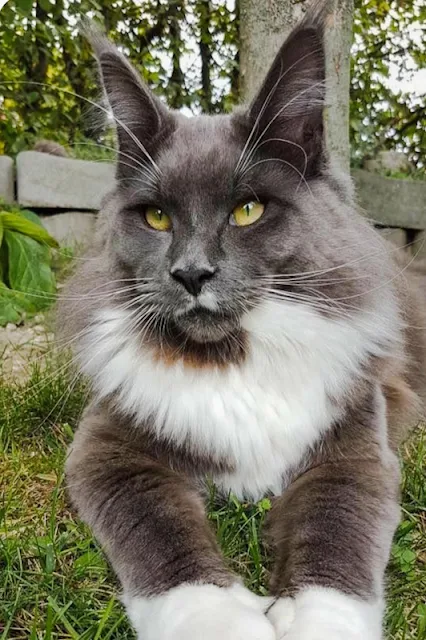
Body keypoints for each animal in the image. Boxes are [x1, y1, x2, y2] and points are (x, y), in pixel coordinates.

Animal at [60, 5, 426, 640]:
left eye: (247, 210)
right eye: (156, 217)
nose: (191, 273)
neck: (232, 358)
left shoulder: (354, 451)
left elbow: (337, 540)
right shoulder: (108, 451)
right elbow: (161, 536)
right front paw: (220, 622)